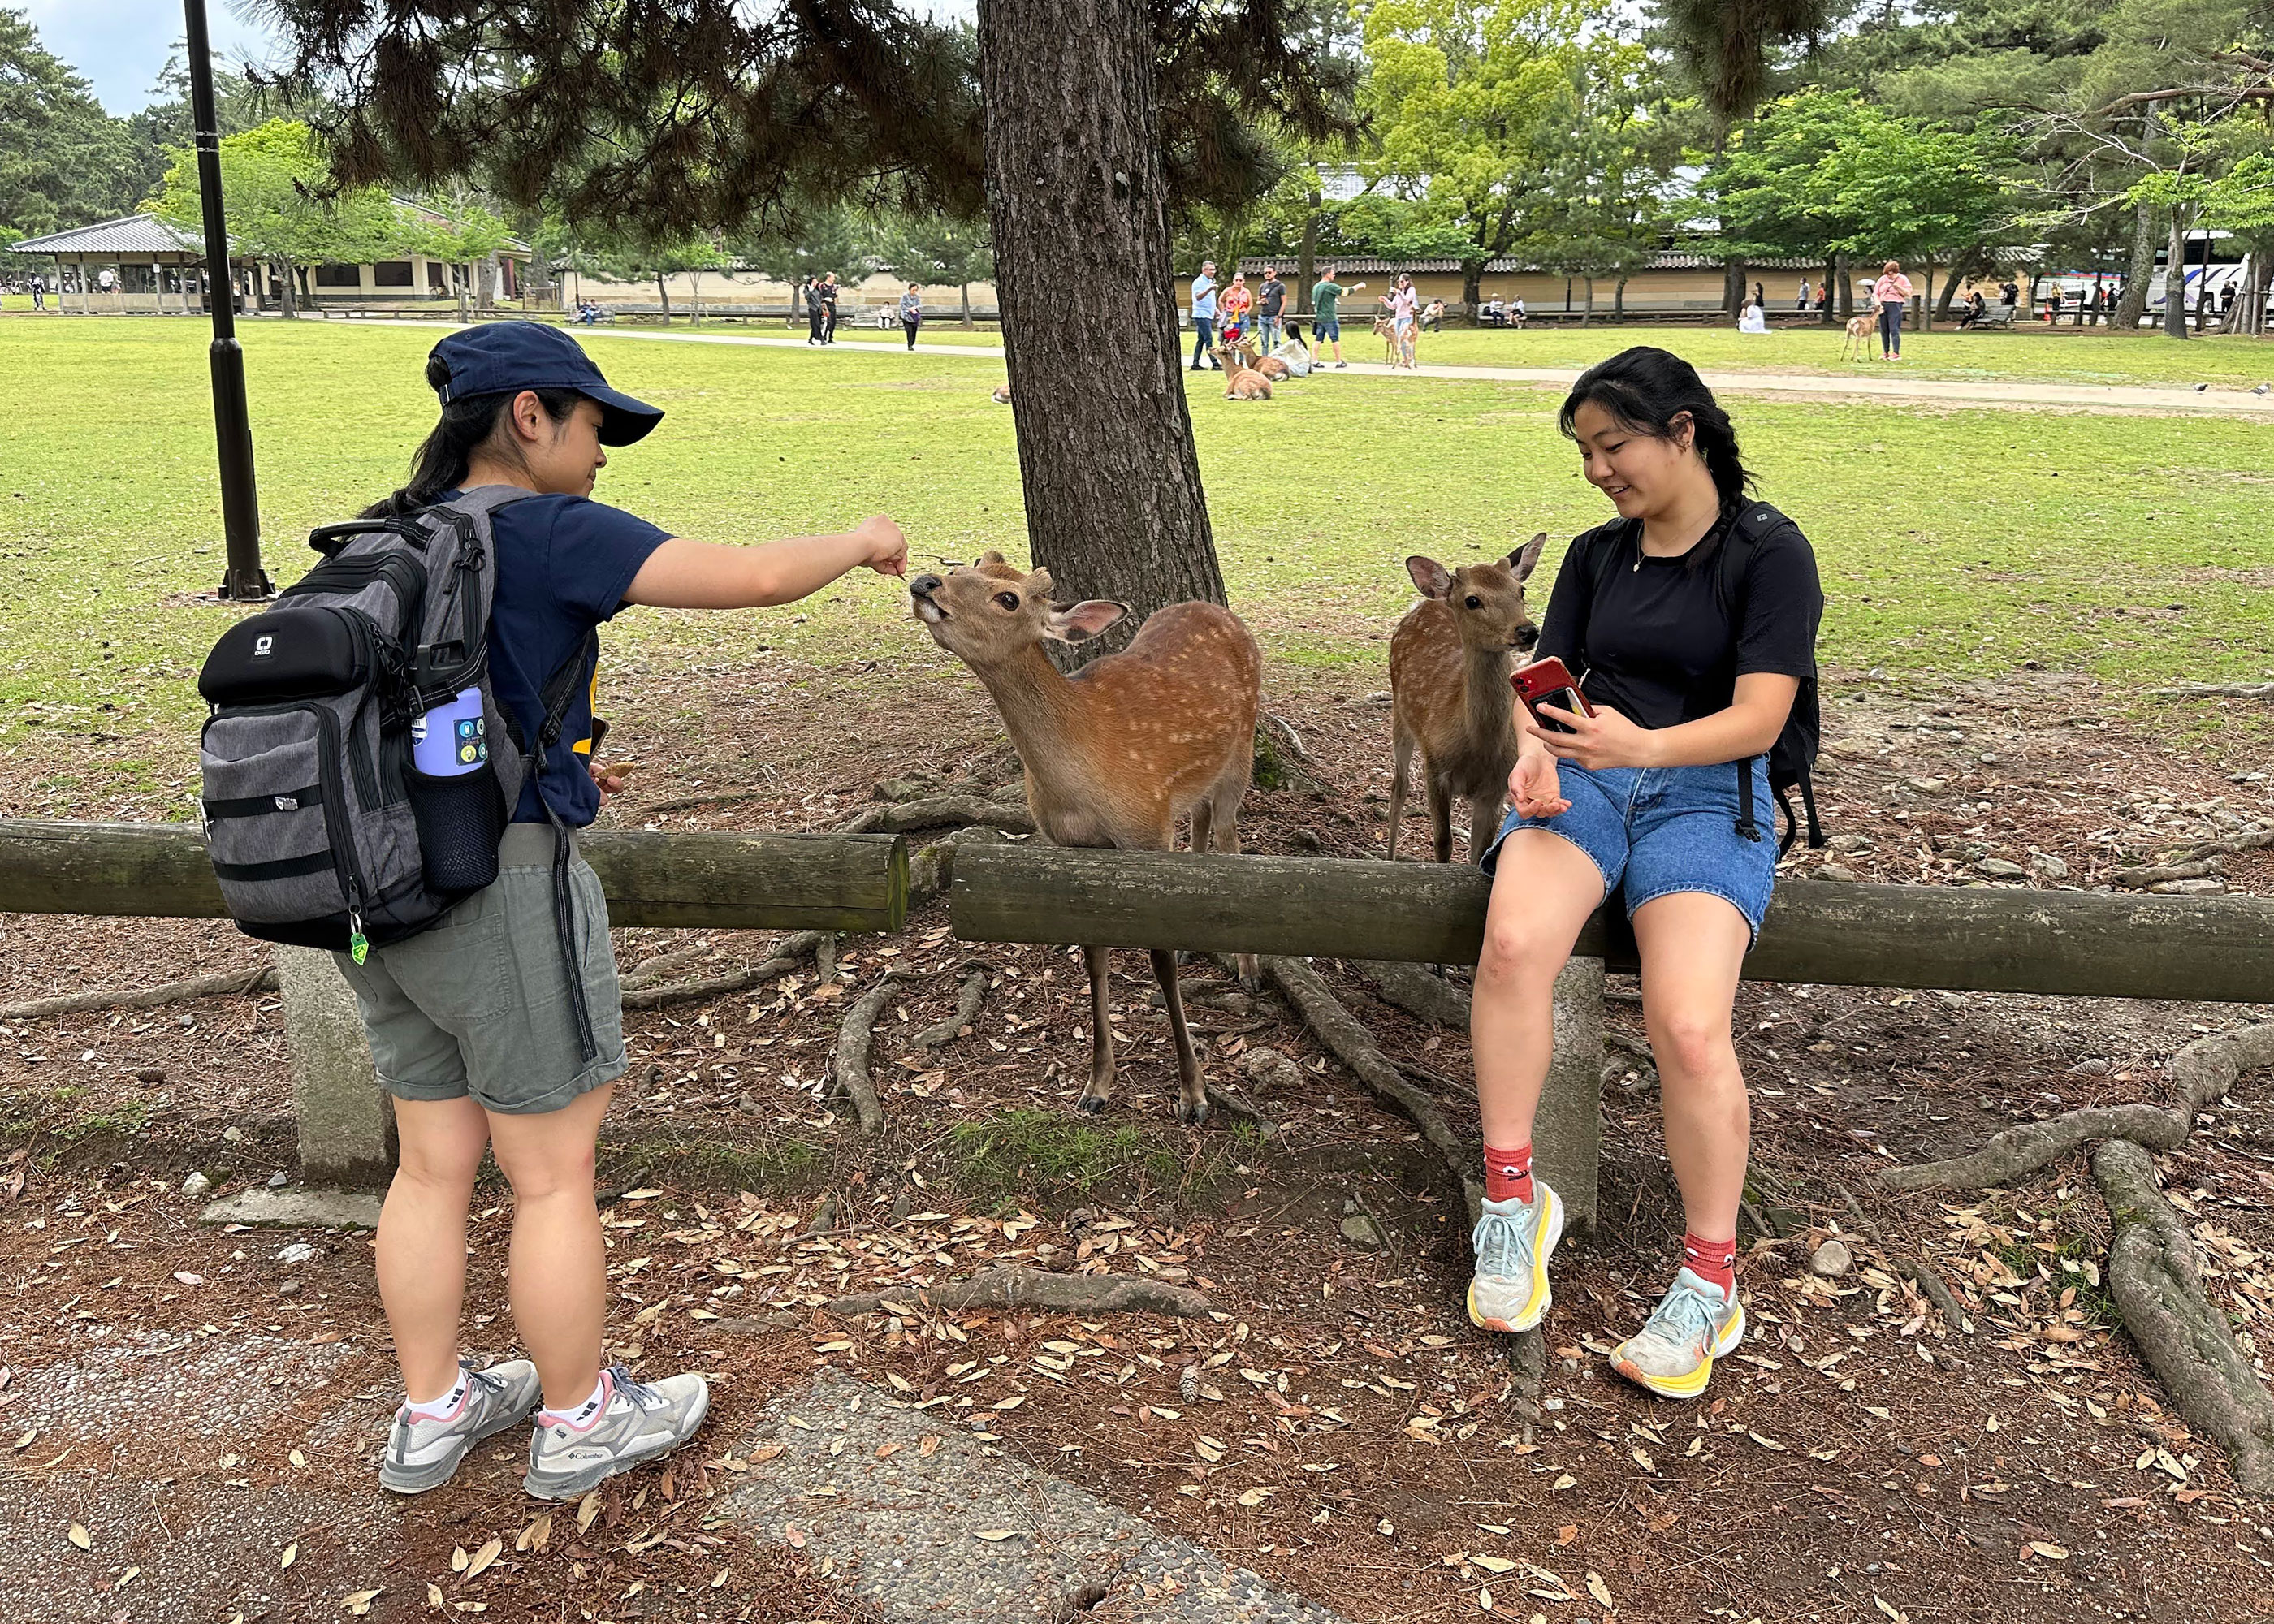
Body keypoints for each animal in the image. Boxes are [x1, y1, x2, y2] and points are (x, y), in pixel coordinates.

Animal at [909, 552, 1262, 1125]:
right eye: (971, 561)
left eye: (1009, 598)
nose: (924, 581)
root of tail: (1218, 608)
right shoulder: (1076, 848)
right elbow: (1094, 955)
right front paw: (1097, 1085)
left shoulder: (1147, 829)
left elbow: (1159, 961)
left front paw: (1194, 1093)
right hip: (1193, 786)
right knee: (1202, 824)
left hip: (1241, 751)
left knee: (1230, 835)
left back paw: (1249, 970)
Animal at [1387, 536, 1550, 864]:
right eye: (1473, 600)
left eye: (1521, 590)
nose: (1527, 630)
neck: (1479, 749)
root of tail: (1426, 602)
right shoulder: (1435, 766)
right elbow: (1443, 842)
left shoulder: (1496, 788)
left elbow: (1479, 853)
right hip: (1400, 713)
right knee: (1400, 785)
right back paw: (1389, 856)